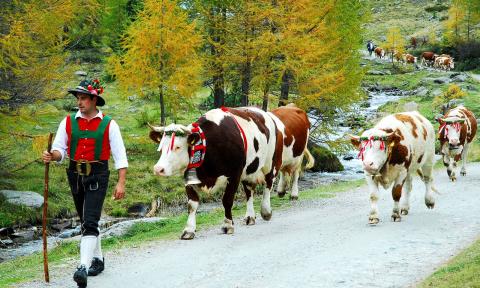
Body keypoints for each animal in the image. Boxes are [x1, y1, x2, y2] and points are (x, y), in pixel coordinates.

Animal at [148, 107, 280, 240]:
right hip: (249, 170)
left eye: (178, 147)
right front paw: (188, 230)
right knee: (249, 191)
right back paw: (250, 217)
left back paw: (266, 211)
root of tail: (263, 112)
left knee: (268, 184)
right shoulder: (189, 179)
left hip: (270, 162)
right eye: (161, 147)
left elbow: (227, 200)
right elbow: (191, 205)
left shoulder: (234, 174)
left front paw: (228, 225)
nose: (158, 169)